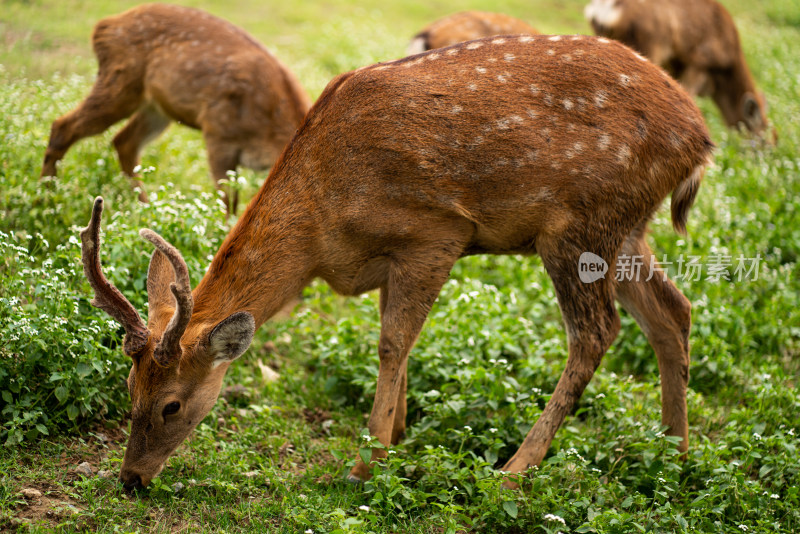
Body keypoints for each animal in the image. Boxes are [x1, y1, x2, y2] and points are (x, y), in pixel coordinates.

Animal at [40, 3, 310, 216]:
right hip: (120, 83)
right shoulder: (217, 133)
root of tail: (103, 26)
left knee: (124, 141)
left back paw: (146, 212)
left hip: (156, 109)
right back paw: (45, 202)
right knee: (63, 126)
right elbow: (228, 203)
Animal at [81, 35, 716, 492]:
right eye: (128, 387)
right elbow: (400, 344)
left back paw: (515, 471)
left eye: (172, 404)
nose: (131, 478)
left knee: (596, 333)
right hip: (626, 229)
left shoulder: (436, 231)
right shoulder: (391, 257)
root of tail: (702, 139)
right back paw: (673, 456)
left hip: (578, 225)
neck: (321, 228)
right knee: (674, 311)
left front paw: (368, 462)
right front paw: (401, 431)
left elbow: (391, 342)